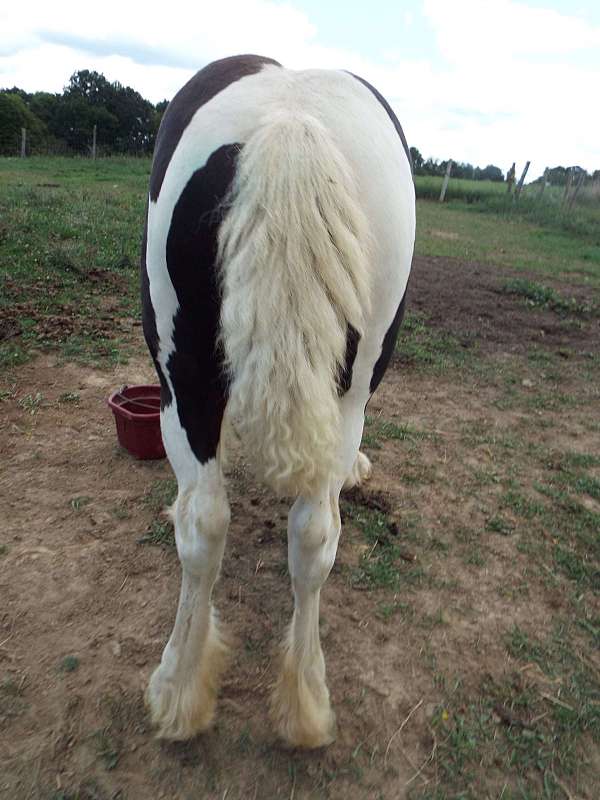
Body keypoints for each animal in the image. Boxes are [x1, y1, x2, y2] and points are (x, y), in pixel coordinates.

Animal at [141, 53, 414, 748]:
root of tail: (291, 114)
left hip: (184, 375)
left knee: (204, 521)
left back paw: (179, 687)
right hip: (345, 389)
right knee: (312, 533)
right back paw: (304, 701)